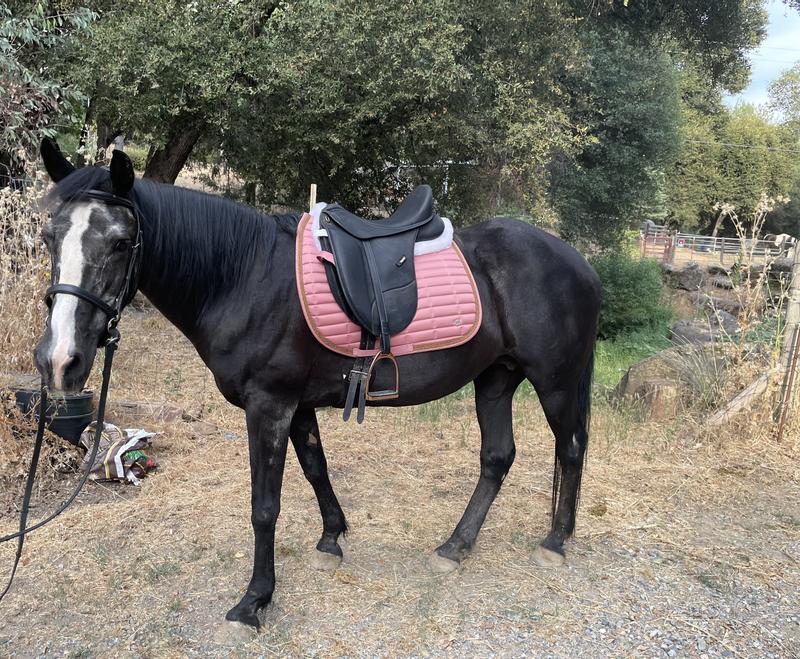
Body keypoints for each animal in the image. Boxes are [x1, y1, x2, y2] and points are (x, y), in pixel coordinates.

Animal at [34, 139, 601, 633]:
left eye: (121, 242)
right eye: (48, 236)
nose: (59, 360)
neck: (244, 276)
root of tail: (579, 261)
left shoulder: (269, 405)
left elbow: (265, 506)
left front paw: (255, 600)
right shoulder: (297, 405)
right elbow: (315, 468)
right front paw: (332, 538)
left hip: (554, 382)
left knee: (570, 448)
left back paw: (555, 541)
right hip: (496, 379)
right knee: (497, 457)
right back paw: (456, 547)